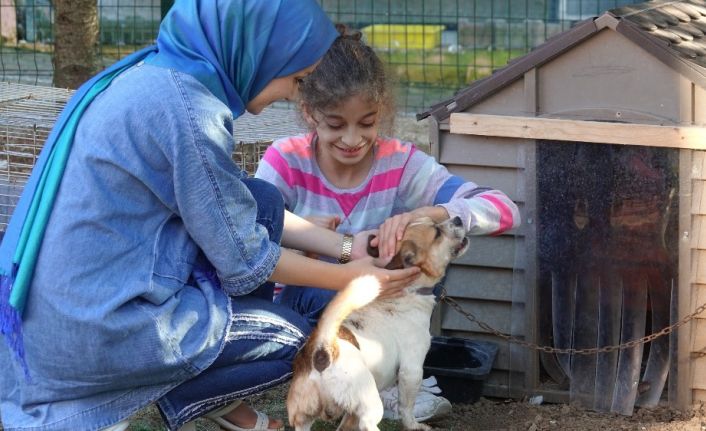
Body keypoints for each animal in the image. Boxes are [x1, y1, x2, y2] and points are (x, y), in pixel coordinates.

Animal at [286, 218, 468, 431]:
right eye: (437, 233)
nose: (458, 218)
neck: (409, 291)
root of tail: (323, 350)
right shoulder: (412, 370)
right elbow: (406, 407)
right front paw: (414, 425)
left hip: (303, 417)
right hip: (370, 403)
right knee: (368, 423)